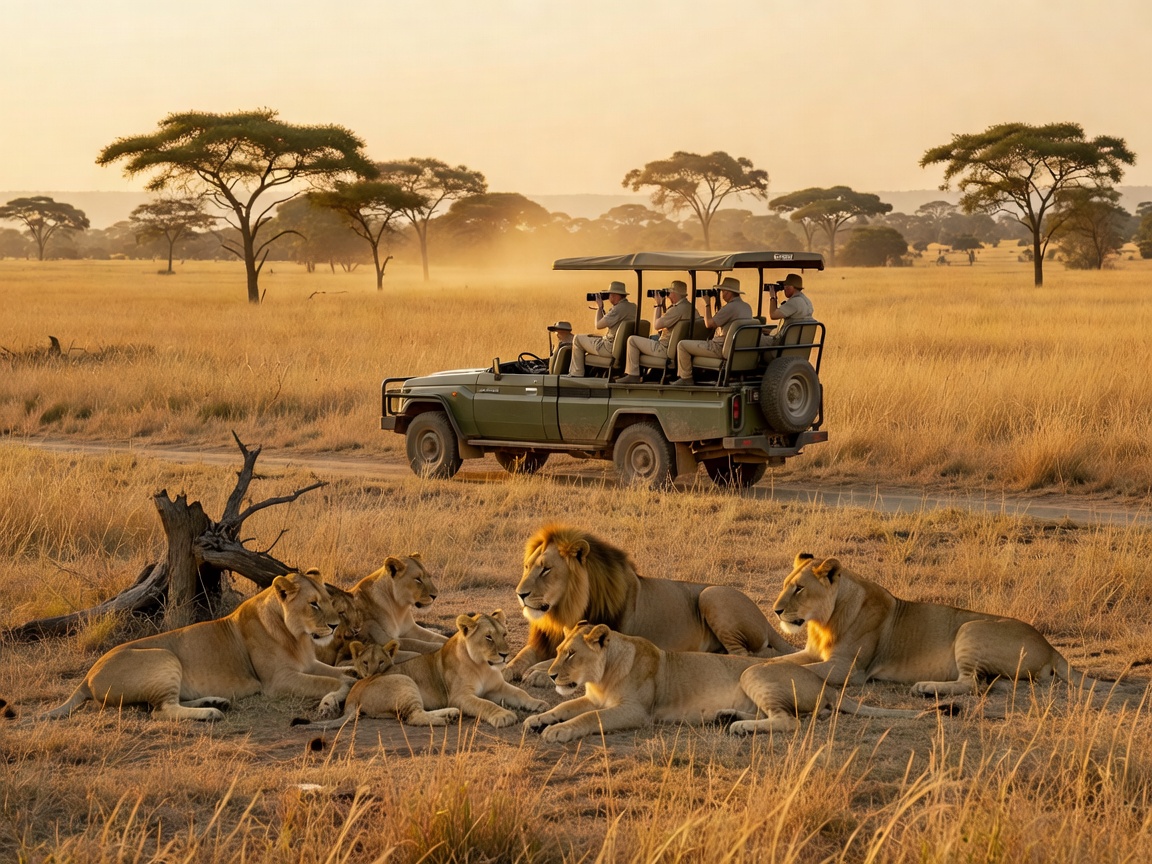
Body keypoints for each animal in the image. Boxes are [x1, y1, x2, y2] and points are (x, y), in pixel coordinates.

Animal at [40, 570, 355, 721]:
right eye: (313, 604)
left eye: (328, 600)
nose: (335, 625)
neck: (298, 636)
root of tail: (87, 677)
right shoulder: (277, 682)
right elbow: (331, 682)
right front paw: (331, 701)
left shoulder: (308, 664)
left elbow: (342, 673)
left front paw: (353, 674)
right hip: (164, 657)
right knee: (161, 711)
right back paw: (211, 713)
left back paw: (215, 701)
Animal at [313, 610, 547, 729]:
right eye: (488, 637)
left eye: (504, 635)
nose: (506, 654)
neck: (483, 666)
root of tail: (352, 697)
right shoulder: (460, 696)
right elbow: (485, 704)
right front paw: (503, 715)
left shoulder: (497, 687)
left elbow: (520, 693)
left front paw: (538, 704)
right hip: (405, 682)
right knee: (413, 717)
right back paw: (446, 719)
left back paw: (450, 715)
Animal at [506, 524, 795, 686]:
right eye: (527, 567)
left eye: (546, 570)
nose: (520, 594)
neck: (563, 610)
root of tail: (765, 619)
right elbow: (525, 655)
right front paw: (510, 668)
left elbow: (556, 661)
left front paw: (537, 673)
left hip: (711, 595)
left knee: (745, 654)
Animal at [524, 623, 925, 742]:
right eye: (557, 651)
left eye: (571, 654)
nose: (551, 674)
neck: (602, 676)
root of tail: (827, 686)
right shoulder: (593, 697)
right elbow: (567, 705)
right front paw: (539, 718)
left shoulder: (636, 712)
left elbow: (586, 718)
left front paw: (557, 731)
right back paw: (728, 717)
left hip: (752, 673)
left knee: (789, 721)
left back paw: (740, 728)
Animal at [767, 553, 1101, 696]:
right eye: (785, 585)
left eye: (799, 589)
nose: (776, 610)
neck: (822, 621)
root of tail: (1050, 646)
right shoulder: (813, 653)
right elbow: (776, 660)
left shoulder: (849, 670)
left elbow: (799, 669)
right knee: (987, 683)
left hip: (970, 629)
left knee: (971, 685)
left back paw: (926, 687)